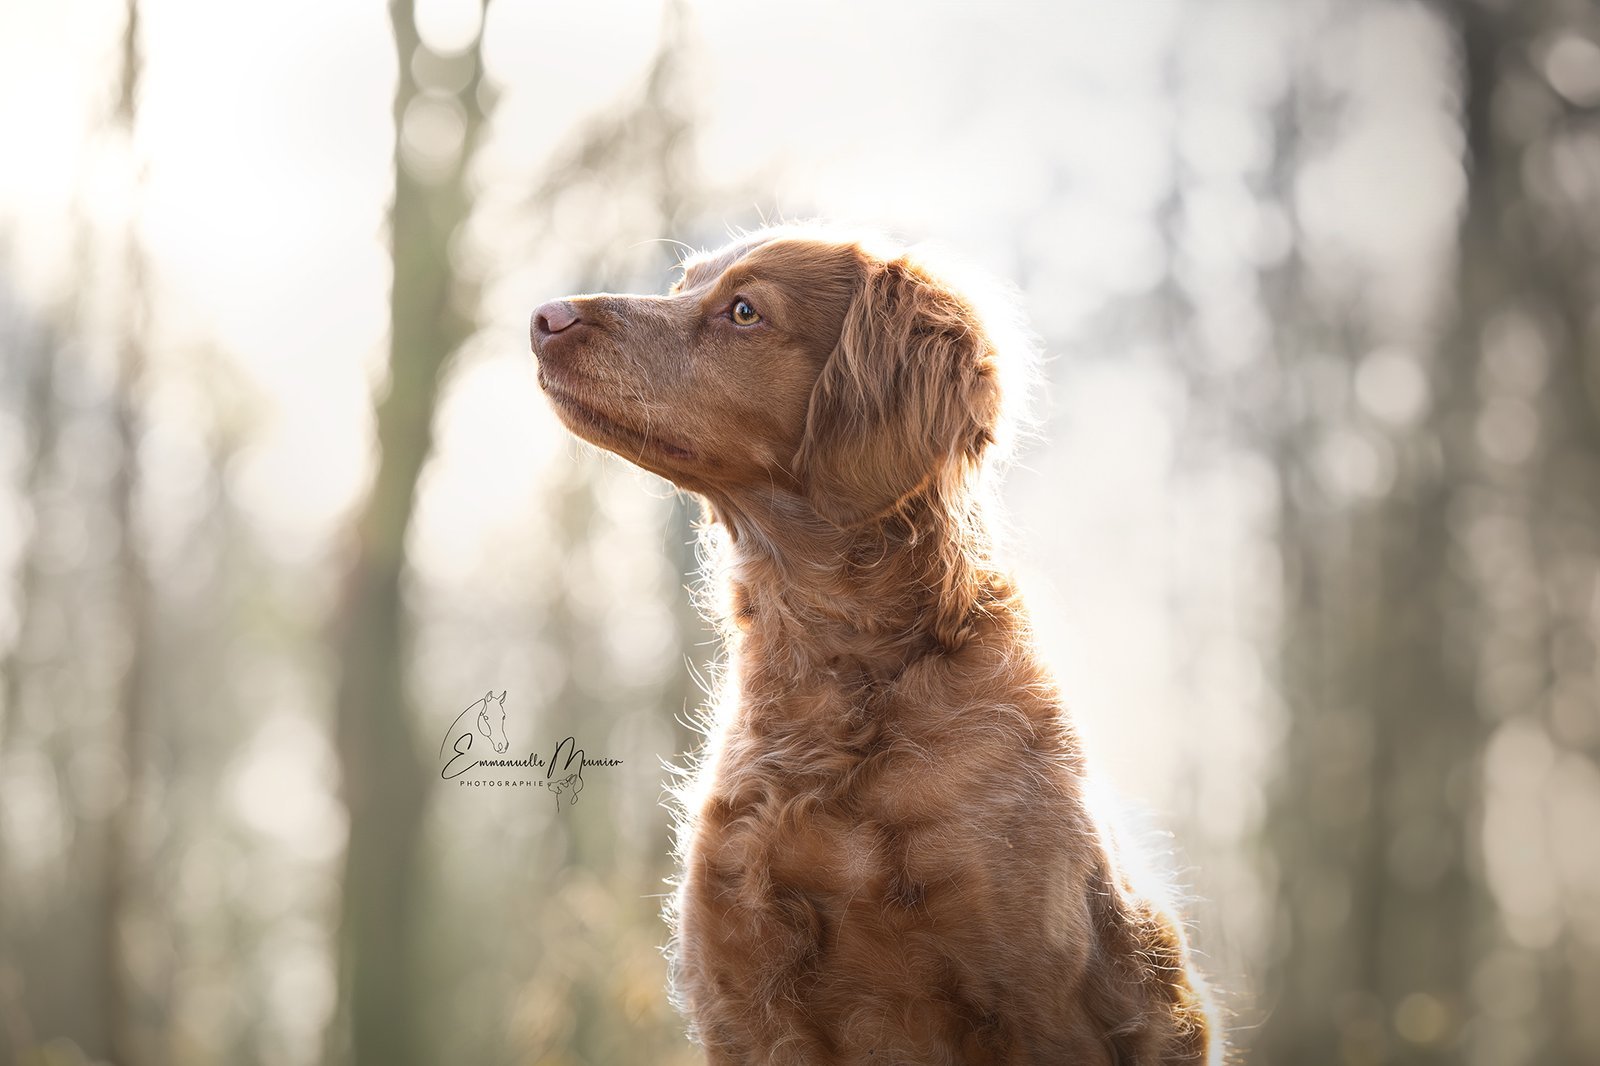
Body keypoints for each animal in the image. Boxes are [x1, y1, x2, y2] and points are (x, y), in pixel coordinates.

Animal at [531, 228, 1216, 1056]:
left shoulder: (1043, 1001)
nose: (544, 316)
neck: (829, 678)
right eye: (683, 284)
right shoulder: (738, 995)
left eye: (744, 310)